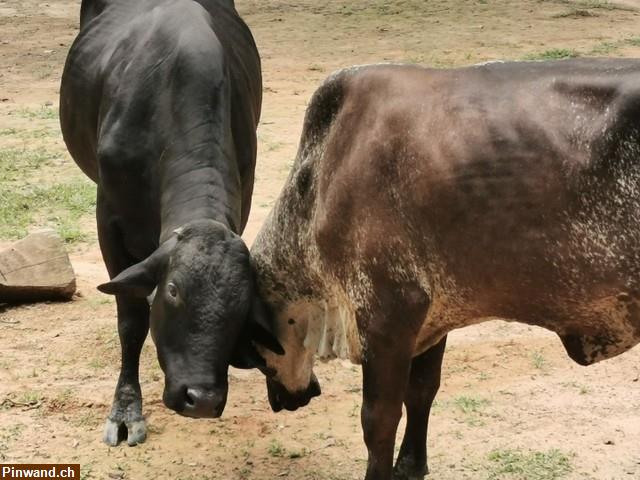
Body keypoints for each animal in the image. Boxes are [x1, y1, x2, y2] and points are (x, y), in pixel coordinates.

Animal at [249, 61, 640, 480]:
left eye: (253, 353)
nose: (283, 401)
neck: (318, 181)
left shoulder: (388, 314)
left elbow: (378, 421)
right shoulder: (431, 319)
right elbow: (421, 393)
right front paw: (411, 464)